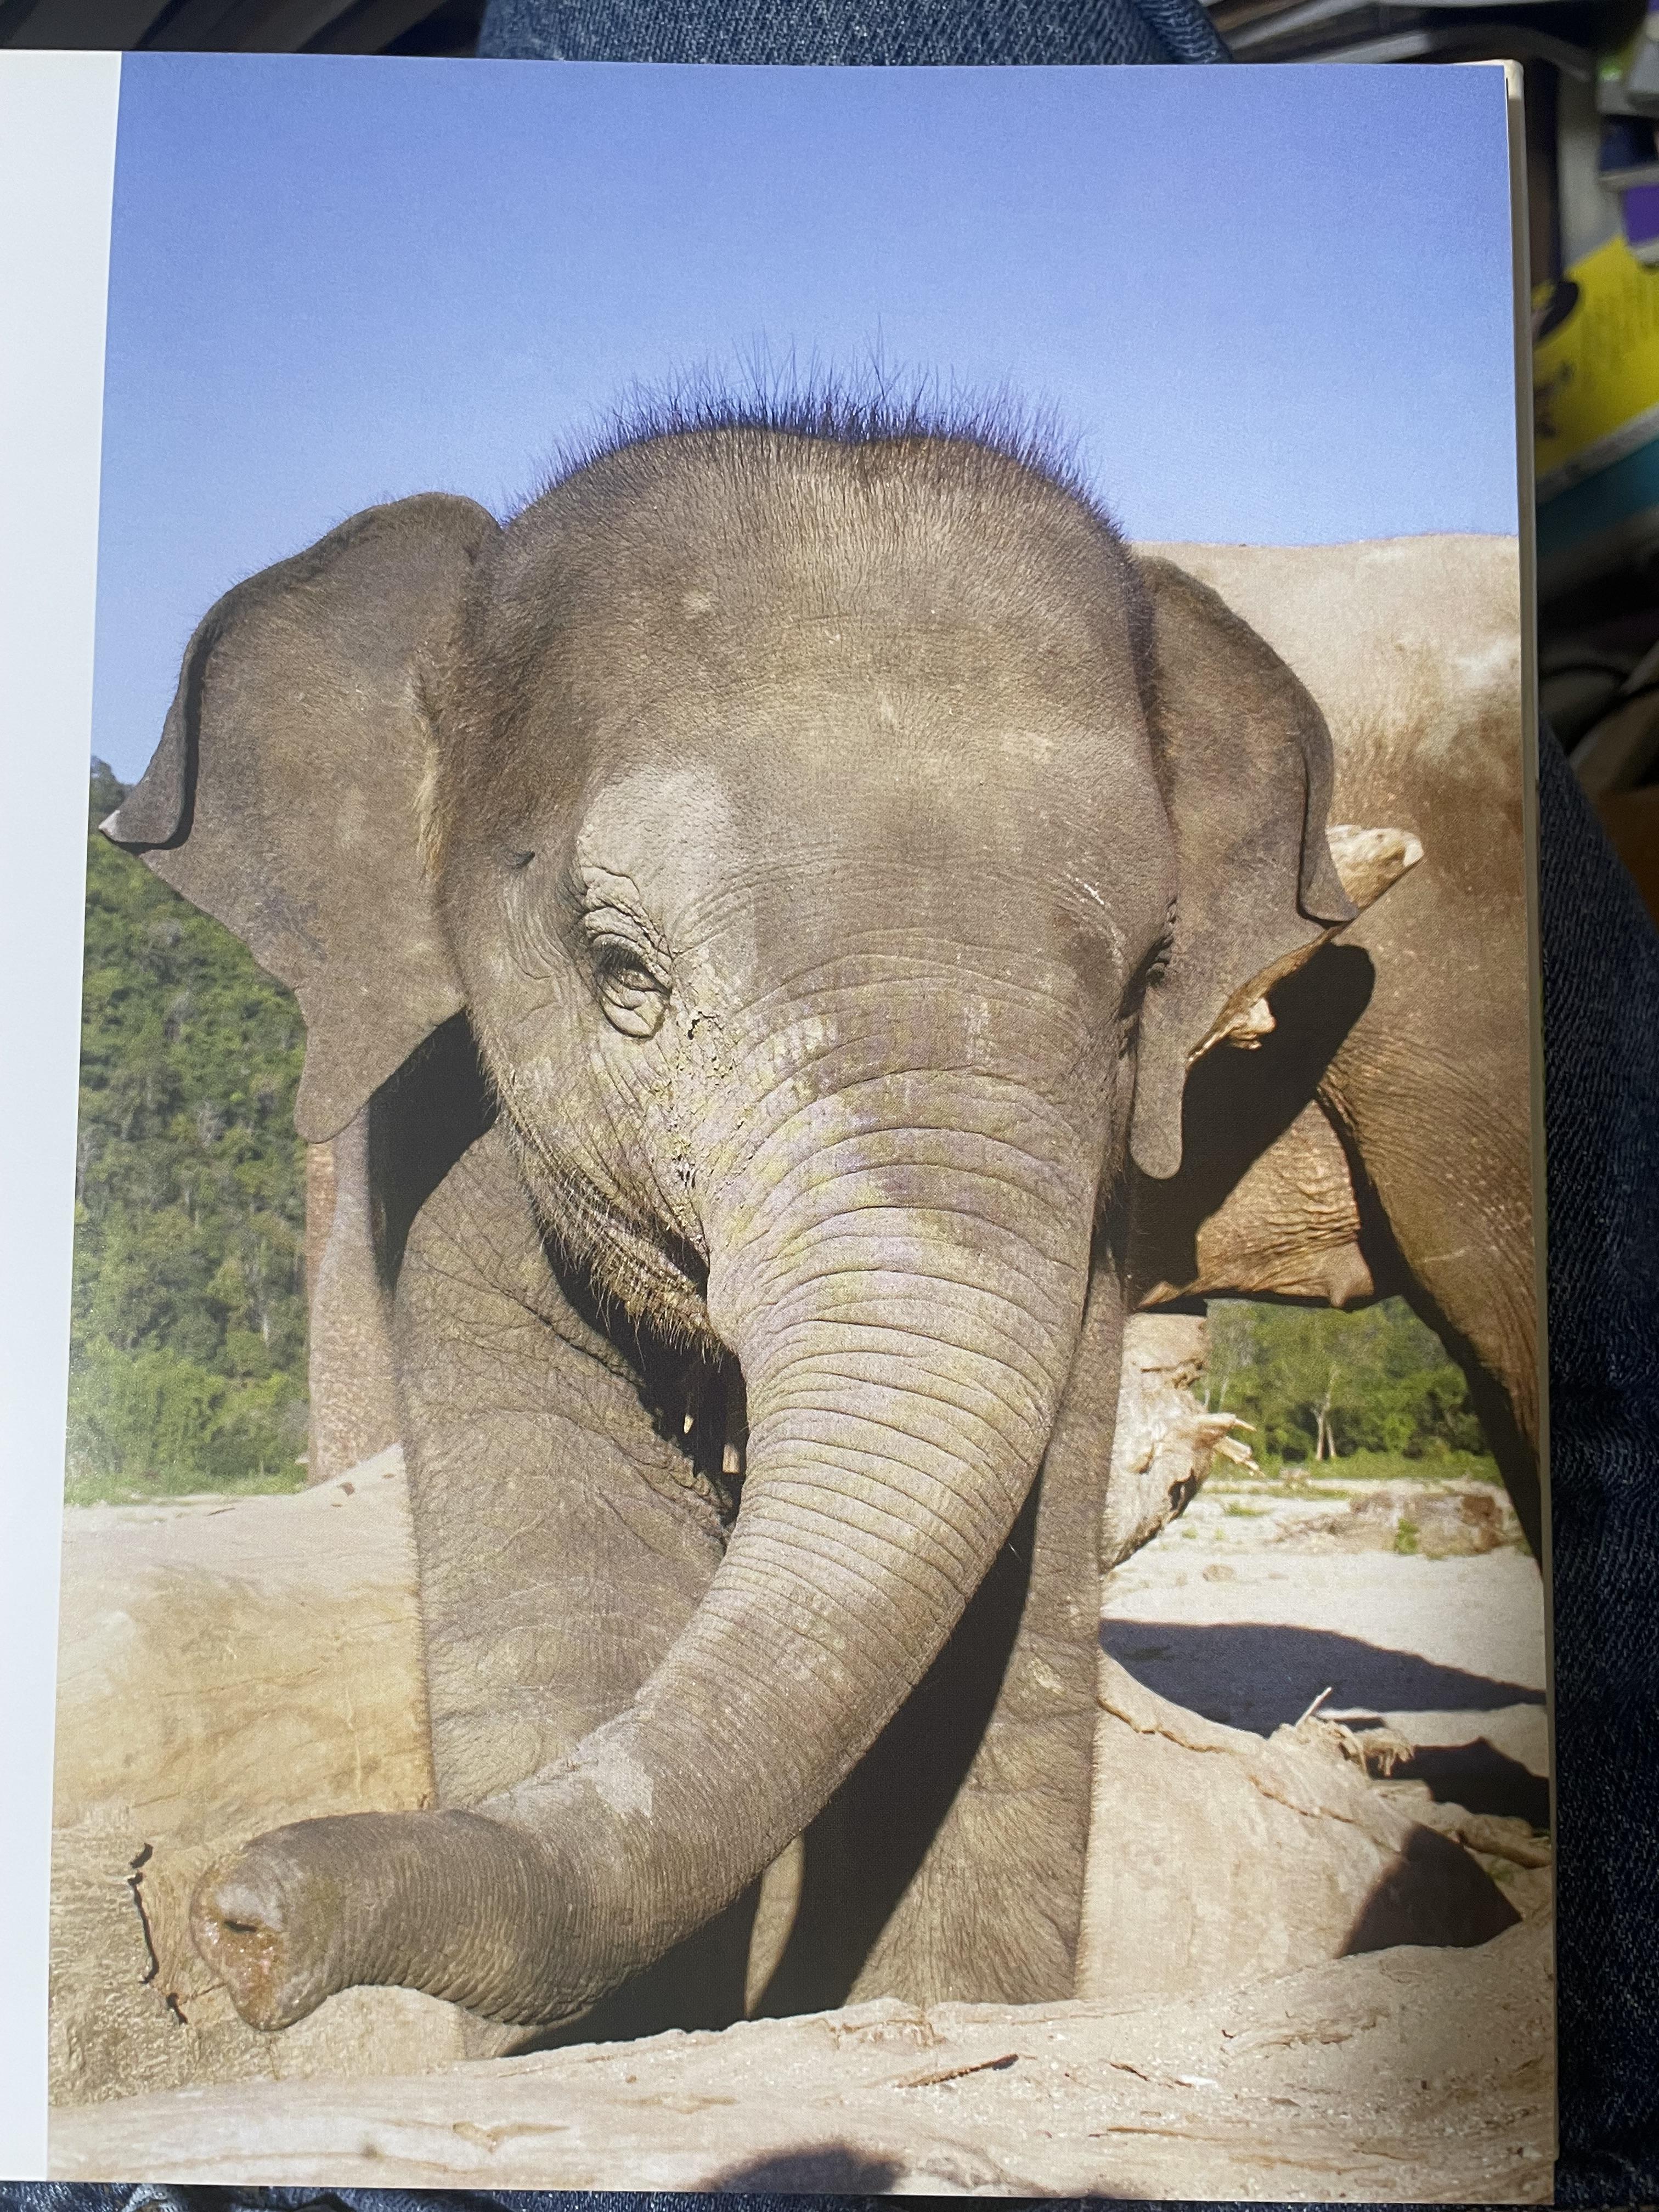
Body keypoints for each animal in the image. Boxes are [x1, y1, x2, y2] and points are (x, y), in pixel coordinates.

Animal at [102, 404, 1534, 2045]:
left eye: (1143, 991)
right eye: (618, 968)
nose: (238, 1927)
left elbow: (1004, 1629)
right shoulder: (432, 1098)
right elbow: (562, 1560)